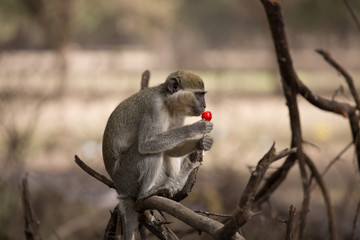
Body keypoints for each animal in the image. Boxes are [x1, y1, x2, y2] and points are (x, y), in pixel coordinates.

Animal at [102, 70, 212, 239]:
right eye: (199, 94)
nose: (204, 105)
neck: (167, 102)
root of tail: (121, 189)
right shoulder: (153, 108)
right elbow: (147, 144)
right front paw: (196, 128)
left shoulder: (179, 115)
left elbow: (170, 149)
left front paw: (201, 143)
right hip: (126, 176)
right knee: (149, 153)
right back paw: (146, 192)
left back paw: (179, 179)